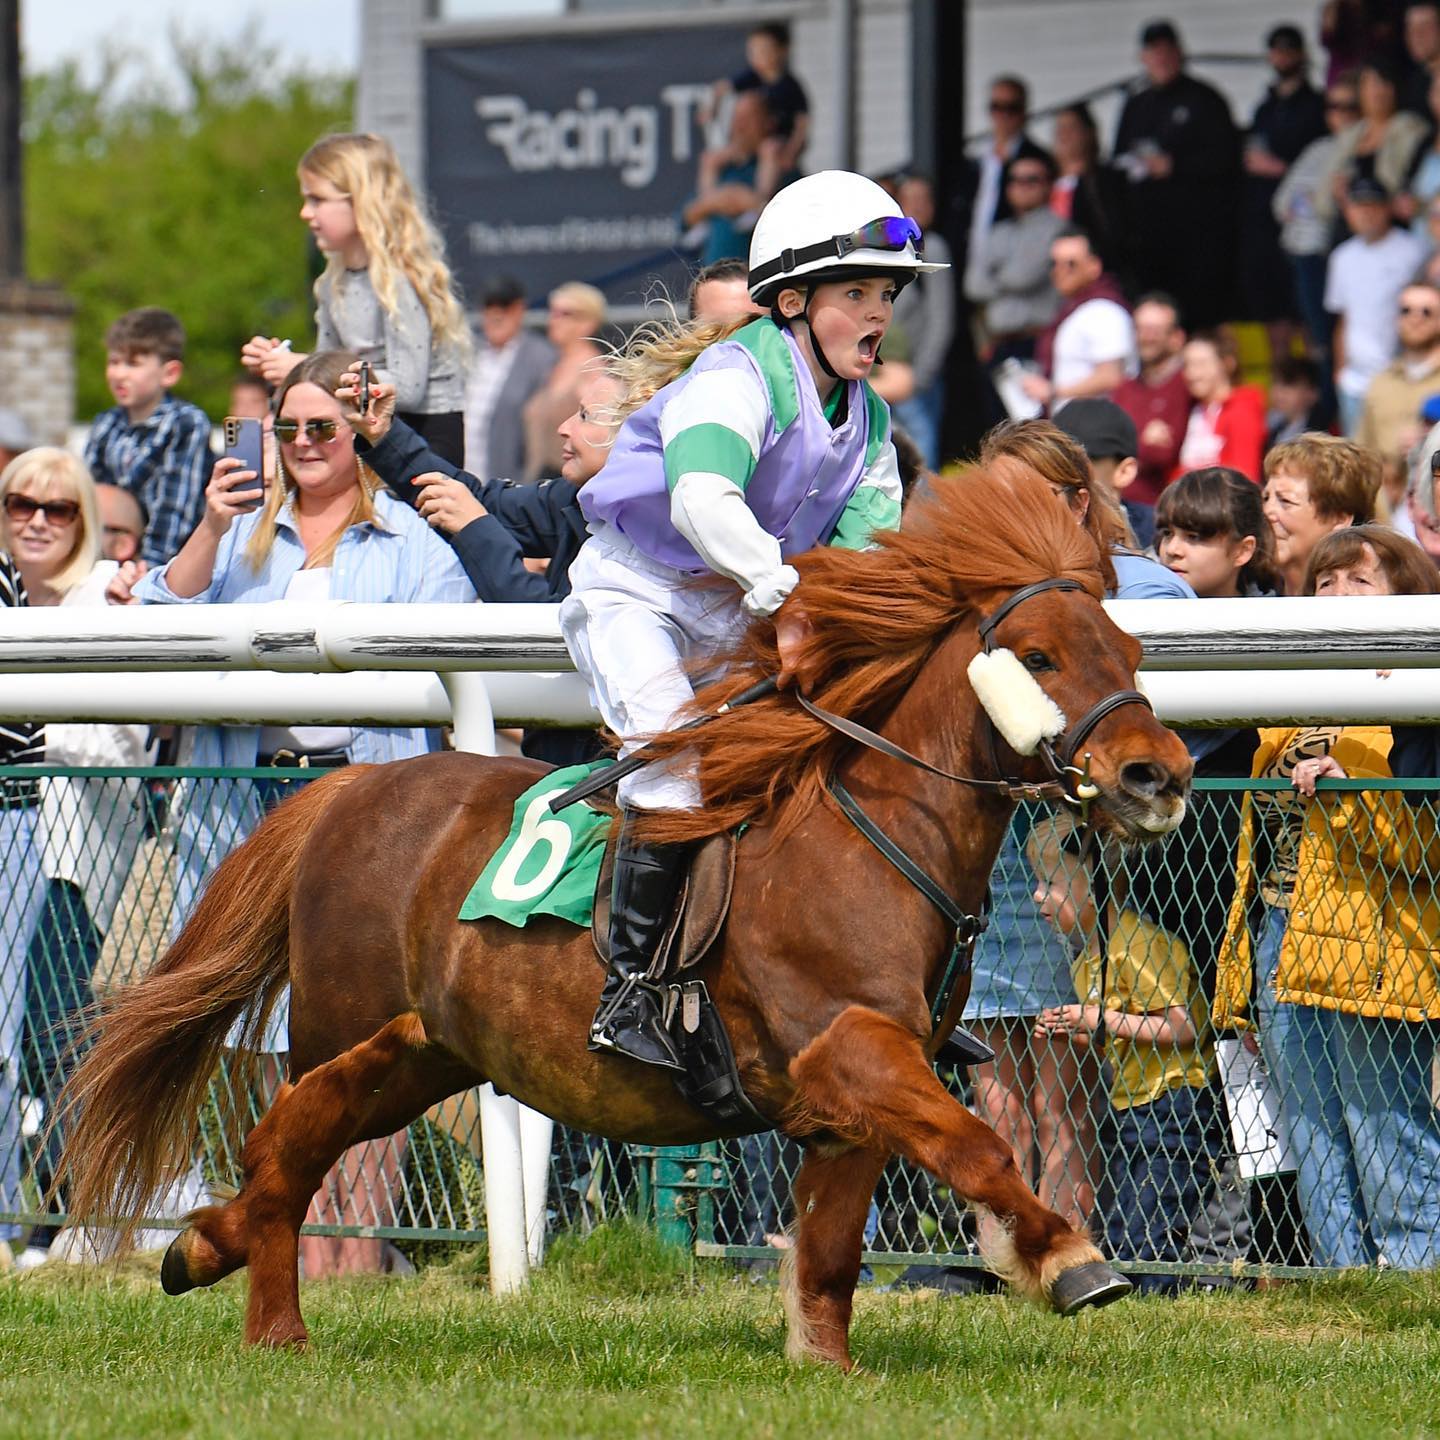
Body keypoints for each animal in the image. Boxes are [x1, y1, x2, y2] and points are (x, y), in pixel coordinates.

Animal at [59, 463, 1192, 1370]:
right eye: (1039, 656)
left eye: (1130, 647)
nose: (1160, 775)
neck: (875, 834)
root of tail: (348, 789)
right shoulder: (852, 1048)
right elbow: (983, 1148)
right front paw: (1070, 1259)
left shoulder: (857, 1093)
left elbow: (833, 1249)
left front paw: (826, 1366)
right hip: (346, 1033)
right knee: (282, 1154)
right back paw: (271, 1324)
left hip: (425, 1054)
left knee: (284, 1156)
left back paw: (201, 1245)